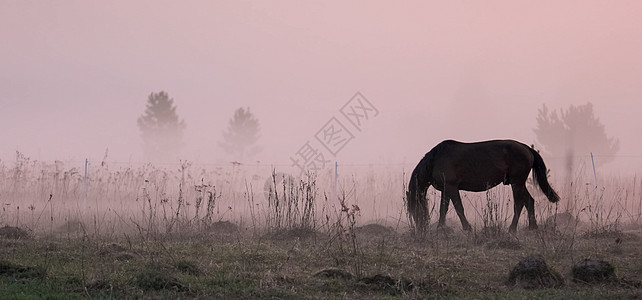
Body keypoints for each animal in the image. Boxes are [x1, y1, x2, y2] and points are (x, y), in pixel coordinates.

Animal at [408, 139, 556, 232]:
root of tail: (526, 148)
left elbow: (459, 208)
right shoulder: (446, 190)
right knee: (530, 201)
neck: (436, 160)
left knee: (519, 204)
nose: (421, 227)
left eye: (415, 208)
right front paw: (441, 227)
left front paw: (467, 228)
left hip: (516, 183)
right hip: (519, 183)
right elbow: (443, 209)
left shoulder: (452, 188)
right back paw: (533, 227)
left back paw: (512, 229)